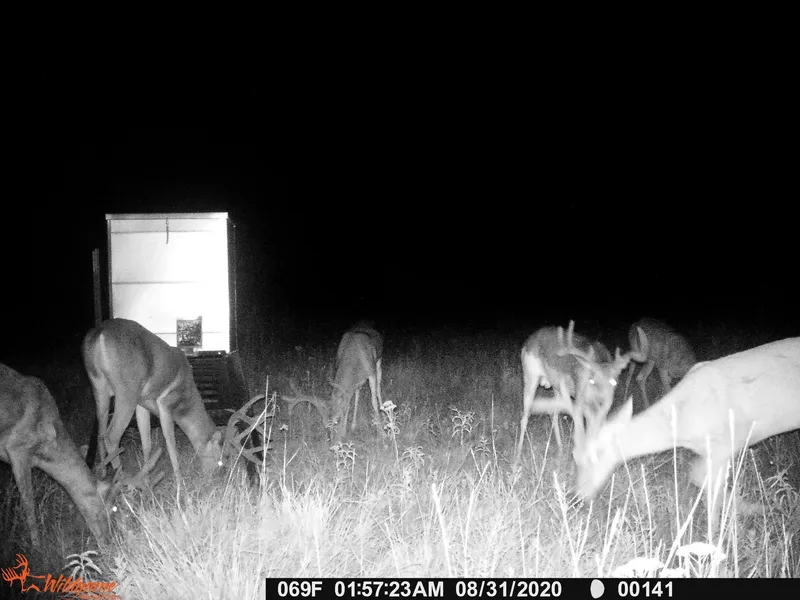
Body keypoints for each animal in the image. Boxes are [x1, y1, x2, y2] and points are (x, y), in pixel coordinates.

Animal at [82, 318, 223, 484]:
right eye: (219, 460)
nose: (215, 478)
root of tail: (100, 334)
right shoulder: (166, 403)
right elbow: (170, 442)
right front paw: (179, 481)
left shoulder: (142, 404)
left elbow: (147, 444)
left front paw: (147, 477)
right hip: (127, 390)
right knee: (111, 436)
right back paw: (119, 478)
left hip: (98, 386)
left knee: (100, 433)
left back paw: (103, 473)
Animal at [515, 321, 648, 462]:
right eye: (592, 380)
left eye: (614, 382)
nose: (603, 399)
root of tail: (530, 339)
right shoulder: (579, 399)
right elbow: (582, 430)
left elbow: (595, 428)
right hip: (530, 377)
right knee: (525, 417)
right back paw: (517, 457)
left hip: (556, 387)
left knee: (553, 414)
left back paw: (561, 451)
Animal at [572, 336, 800, 536]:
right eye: (574, 455)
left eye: (592, 456)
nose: (578, 497)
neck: (682, 424)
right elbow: (698, 476)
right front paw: (749, 511)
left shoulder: (726, 444)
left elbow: (708, 486)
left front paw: (723, 529)